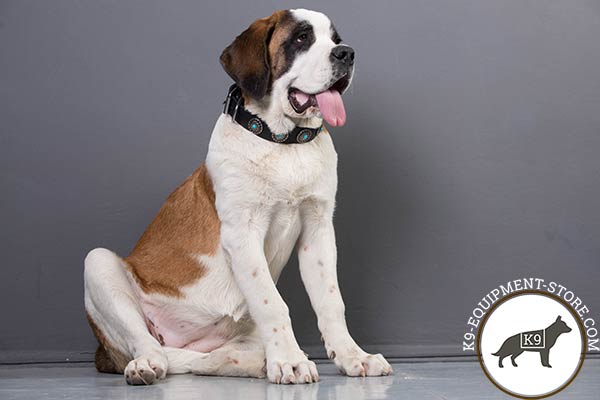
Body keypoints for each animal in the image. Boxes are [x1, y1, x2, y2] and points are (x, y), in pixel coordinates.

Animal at [84, 8, 394, 384]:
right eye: (301, 39)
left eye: (335, 40)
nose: (346, 54)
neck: (283, 142)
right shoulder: (242, 233)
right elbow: (272, 303)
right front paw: (290, 360)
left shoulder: (318, 230)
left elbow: (331, 300)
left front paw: (352, 356)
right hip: (98, 264)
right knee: (151, 346)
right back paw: (146, 364)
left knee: (206, 359)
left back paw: (252, 362)